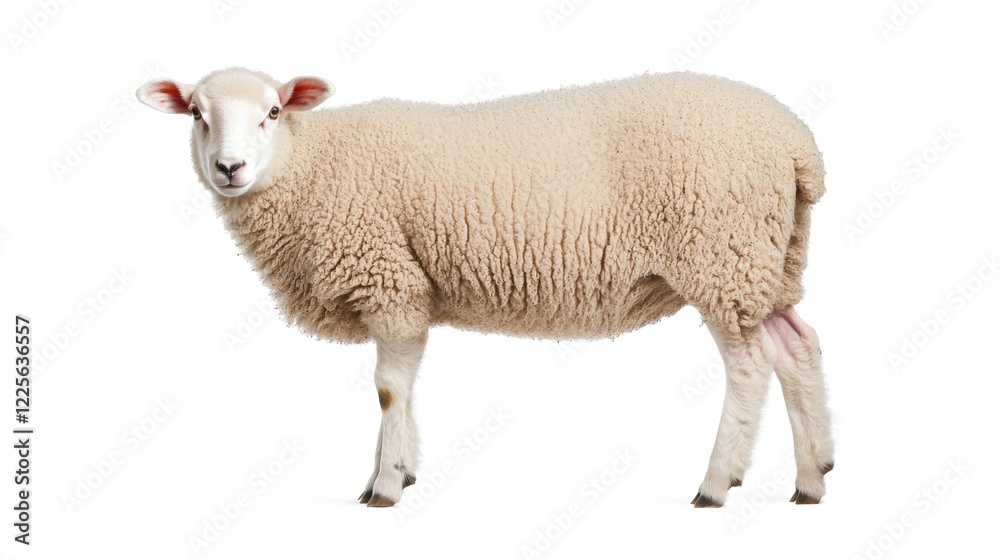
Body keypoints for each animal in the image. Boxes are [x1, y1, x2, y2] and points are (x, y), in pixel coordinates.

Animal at [137, 67, 834, 508]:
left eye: (273, 112)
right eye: (197, 114)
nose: (230, 168)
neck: (313, 166)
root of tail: (799, 145)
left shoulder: (389, 279)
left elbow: (387, 390)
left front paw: (384, 487)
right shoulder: (408, 289)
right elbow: (400, 387)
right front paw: (395, 472)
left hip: (722, 254)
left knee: (750, 366)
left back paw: (716, 484)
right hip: (769, 260)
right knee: (797, 347)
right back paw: (812, 477)